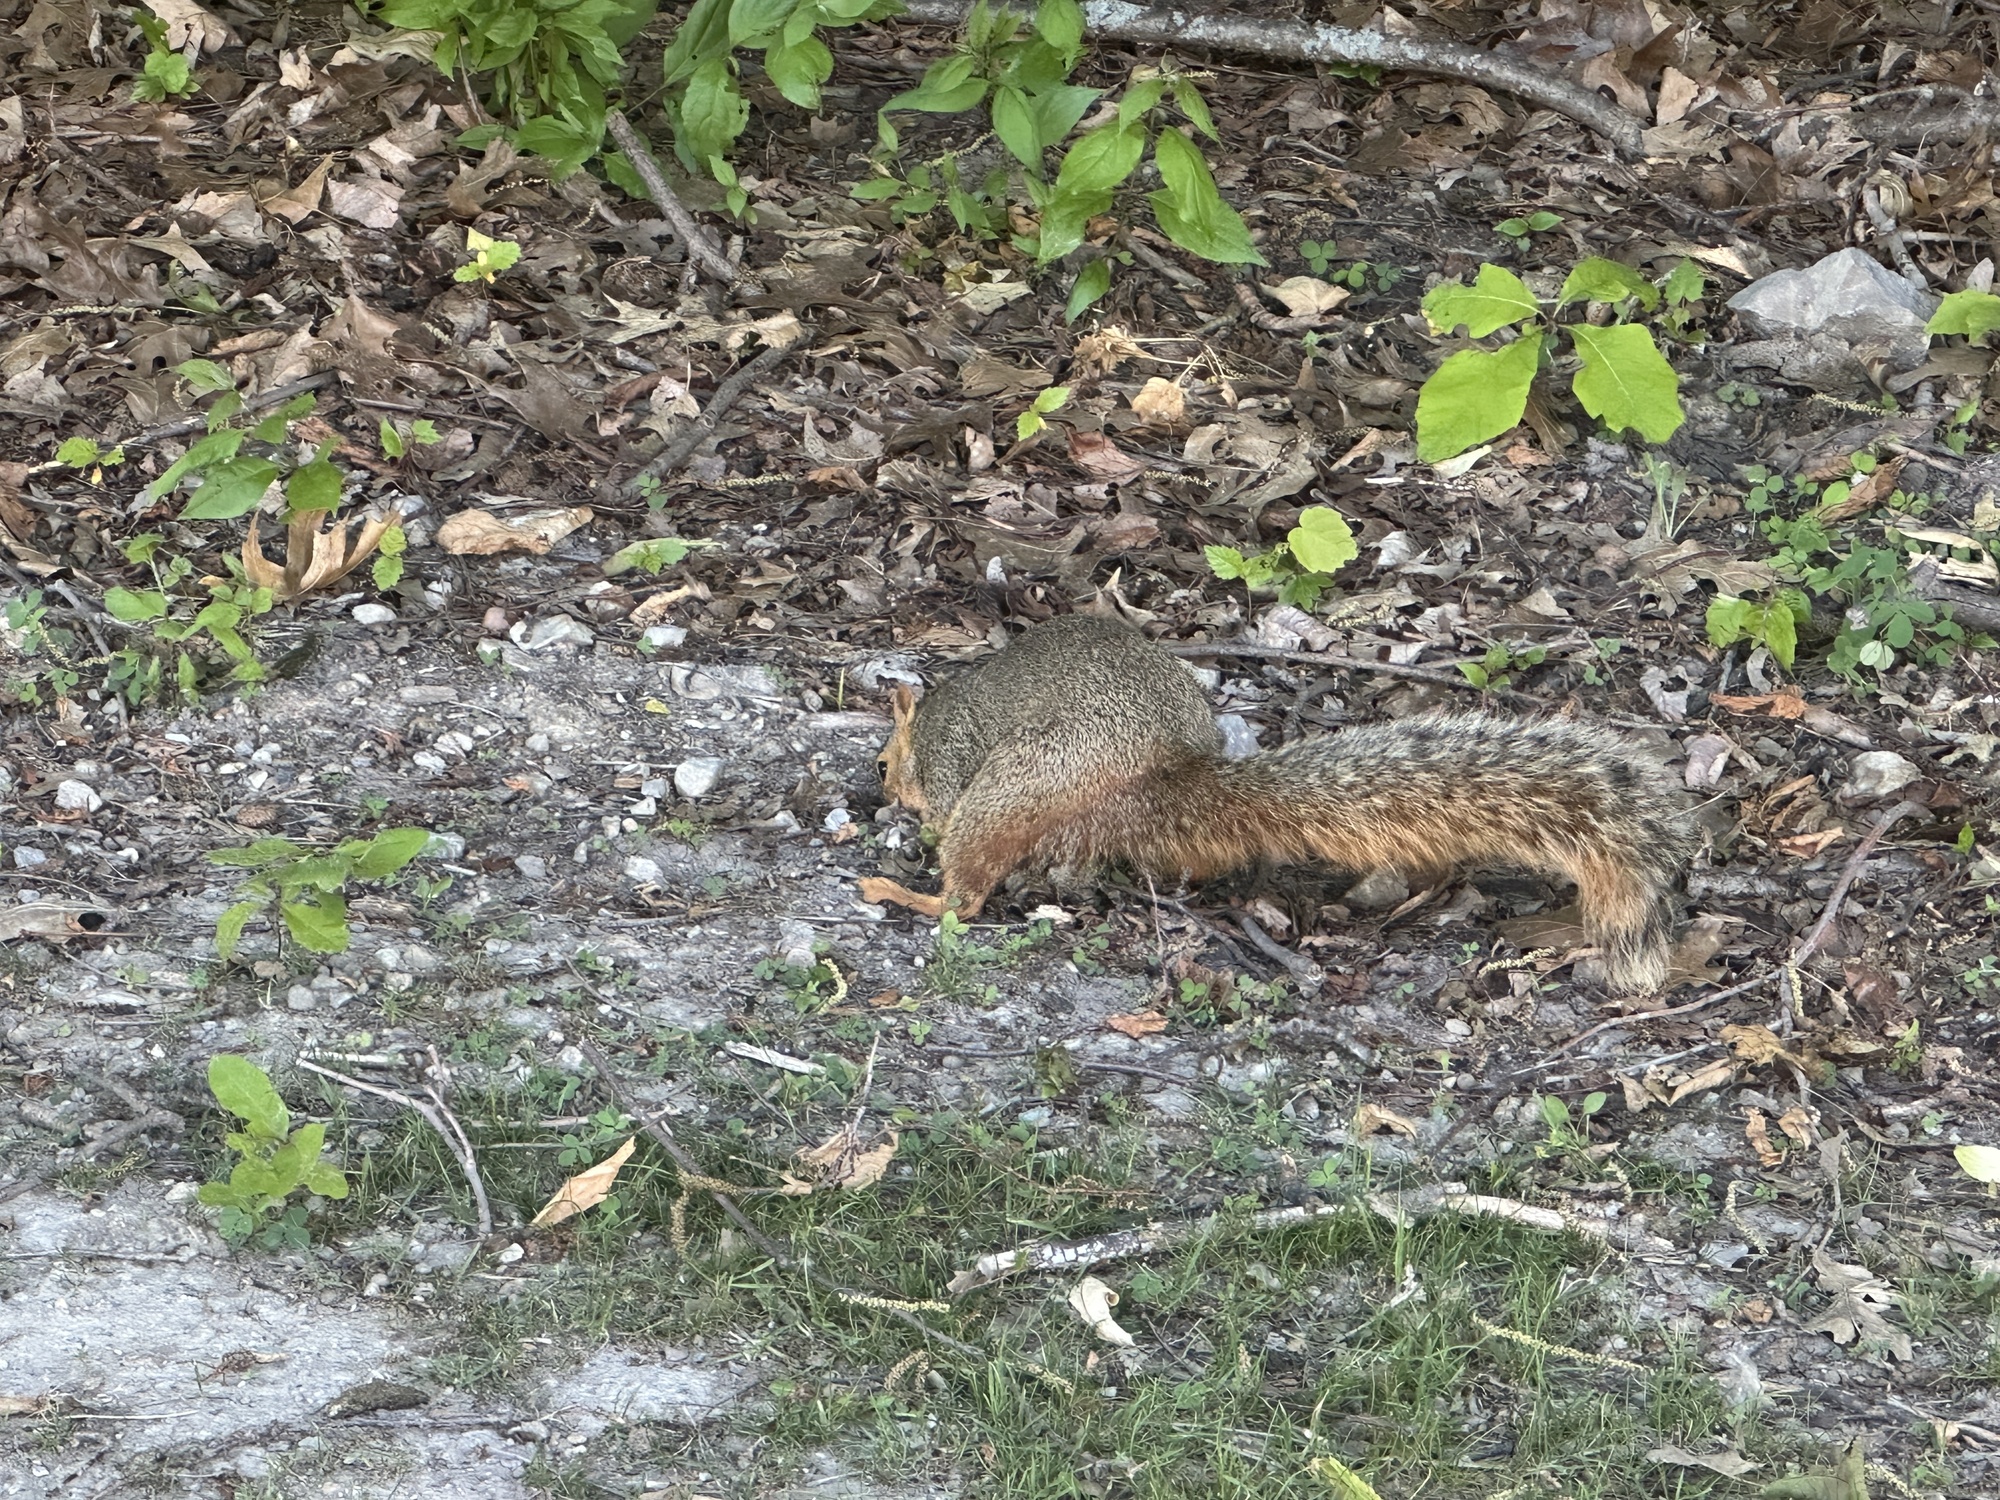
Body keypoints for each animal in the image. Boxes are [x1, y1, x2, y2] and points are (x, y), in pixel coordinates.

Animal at [859, 613, 1696, 993]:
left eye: (881, 762)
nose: (880, 796)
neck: (931, 720)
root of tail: (1171, 777)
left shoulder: (953, 758)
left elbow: (945, 801)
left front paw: (916, 821)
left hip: (1029, 775)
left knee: (968, 891)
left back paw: (909, 893)